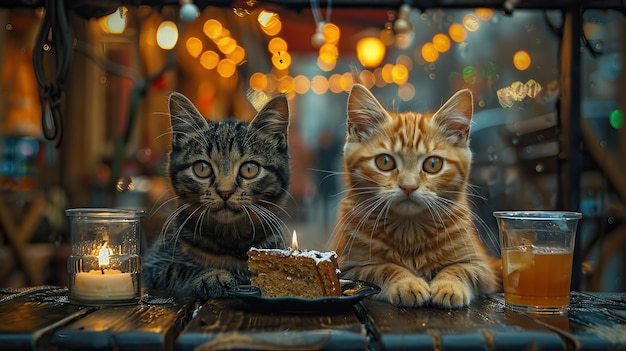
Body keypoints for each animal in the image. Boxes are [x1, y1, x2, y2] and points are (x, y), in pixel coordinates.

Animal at [141, 92, 290, 302]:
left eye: (249, 169)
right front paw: (212, 276)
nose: (224, 191)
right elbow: (179, 268)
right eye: (202, 168)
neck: (229, 239)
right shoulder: (153, 264)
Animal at [326, 84, 498, 308]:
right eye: (385, 162)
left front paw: (449, 285)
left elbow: (461, 268)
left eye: (433, 164)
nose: (409, 186)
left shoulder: (482, 267)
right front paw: (407, 282)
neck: (410, 229)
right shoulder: (351, 266)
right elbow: (383, 267)